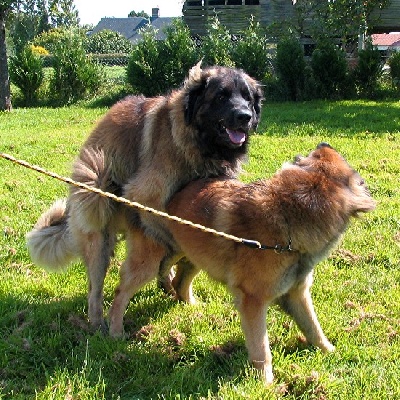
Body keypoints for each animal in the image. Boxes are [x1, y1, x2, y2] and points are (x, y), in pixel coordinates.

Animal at [27, 62, 262, 332]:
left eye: (247, 98)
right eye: (221, 96)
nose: (245, 116)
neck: (197, 141)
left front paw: (171, 280)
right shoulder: (144, 195)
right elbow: (167, 234)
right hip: (97, 212)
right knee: (95, 289)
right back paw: (99, 325)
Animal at [108, 142, 376, 382]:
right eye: (316, 155)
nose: (324, 142)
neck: (287, 220)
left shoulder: (297, 293)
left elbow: (313, 327)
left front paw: (330, 352)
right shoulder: (253, 302)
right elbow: (261, 348)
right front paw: (266, 382)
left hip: (195, 253)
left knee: (180, 281)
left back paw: (192, 305)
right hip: (151, 260)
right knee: (122, 293)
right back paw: (115, 330)